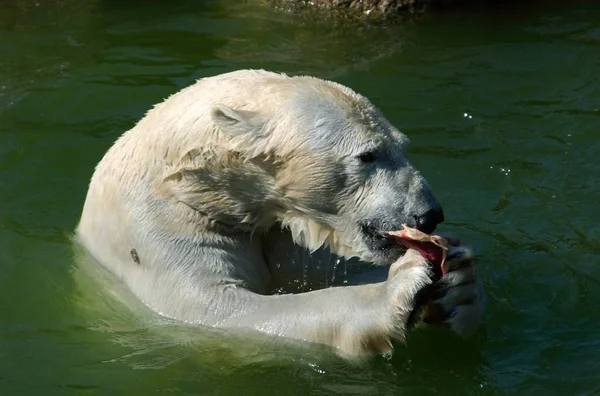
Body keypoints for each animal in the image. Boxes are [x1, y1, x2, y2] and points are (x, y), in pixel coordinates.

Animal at [77, 68, 486, 356]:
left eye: (402, 145)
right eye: (368, 155)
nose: (429, 214)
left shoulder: (276, 229)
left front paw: (459, 283)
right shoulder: (160, 233)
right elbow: (220, 309)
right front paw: (397, 289)